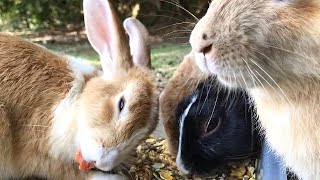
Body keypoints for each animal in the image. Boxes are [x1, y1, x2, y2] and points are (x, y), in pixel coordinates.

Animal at [0, 0, 158, 179]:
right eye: (121, 104)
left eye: (145, 134)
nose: (103, 163)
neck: (78, 104)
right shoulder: (39, 151)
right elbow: (74, 172)